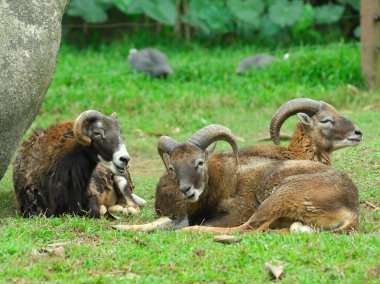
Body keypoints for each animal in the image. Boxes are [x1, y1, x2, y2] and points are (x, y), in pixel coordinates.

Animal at [13, 110, 141, 217]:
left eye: (120, 132)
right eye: (97, 132)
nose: (125, 159)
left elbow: (98, 211)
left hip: (121, 180)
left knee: (133, 207)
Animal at [113, 124, 360, 233]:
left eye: (199, 162)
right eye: (172, 167)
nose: (186, 190)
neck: (224, 181)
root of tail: (352, 207)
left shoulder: (238, 212)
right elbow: (161, 222)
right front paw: (121, 227)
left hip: (279, 196)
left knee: (247, 229)